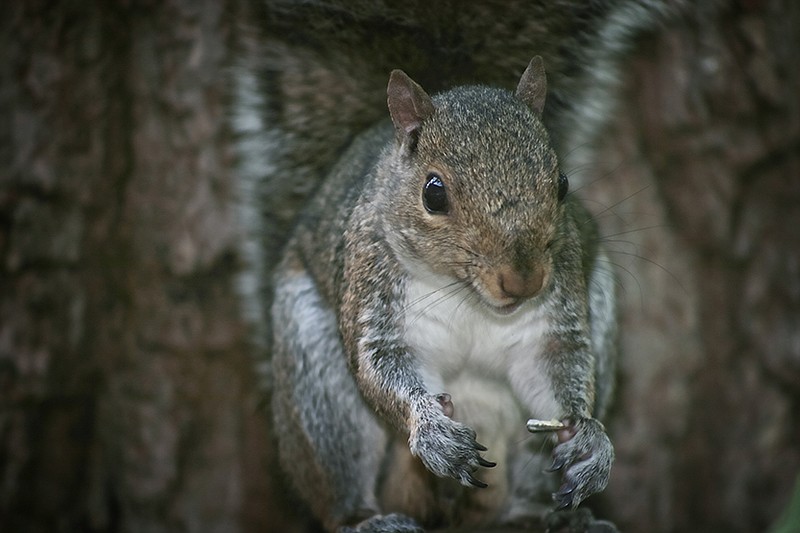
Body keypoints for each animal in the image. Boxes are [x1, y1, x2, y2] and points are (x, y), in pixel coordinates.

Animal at [231, 1, 682, 531]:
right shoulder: (373, 288)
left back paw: (548, 516)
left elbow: (556, 368)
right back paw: (367, 518)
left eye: (563, 183)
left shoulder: (552, 321)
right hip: (315, 380)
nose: (524, 280)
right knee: (338, 481)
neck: (468, 296)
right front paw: (433, 432)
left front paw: (590, 442)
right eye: (434, 193)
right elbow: (380, 368)